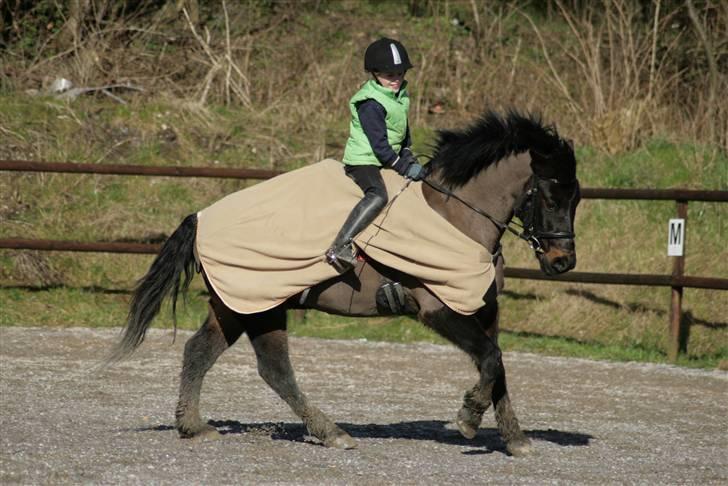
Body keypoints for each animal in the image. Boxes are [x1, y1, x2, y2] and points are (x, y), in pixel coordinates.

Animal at [108, 109, 580, 456]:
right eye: (550, 196)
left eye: (576, 198)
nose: (563, 262)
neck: (457, 217)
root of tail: (200, 218)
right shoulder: (440, 308)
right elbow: (490, 359)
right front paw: (468, 418)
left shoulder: (484, 308)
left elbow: (497, 366)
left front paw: (515, 440)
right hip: (260, 304)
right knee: (274, 368)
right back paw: (331, 432)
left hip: (240, 304)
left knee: (202, 352)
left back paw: (194, 426)